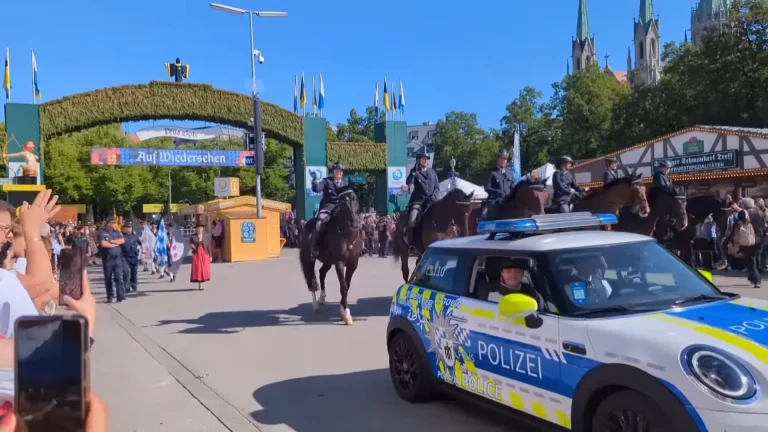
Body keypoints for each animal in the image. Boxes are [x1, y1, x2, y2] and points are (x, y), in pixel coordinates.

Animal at [298, 186, 362, 324]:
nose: (354, 222)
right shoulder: (339, 263)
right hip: (308, 260)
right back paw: (315, 304)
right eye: (343, 201)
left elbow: (347, 286)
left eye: (355, 198)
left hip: (328, 261)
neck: (347, 234)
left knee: (322, 273)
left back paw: (322, 298)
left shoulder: (353, 263)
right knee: (311, 280)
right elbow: (343, 287)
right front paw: (347, 315)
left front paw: (342, 310)